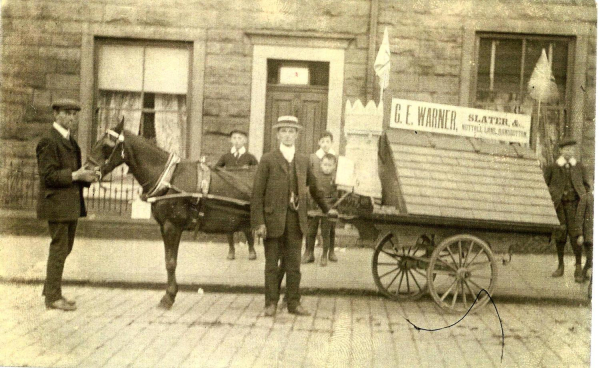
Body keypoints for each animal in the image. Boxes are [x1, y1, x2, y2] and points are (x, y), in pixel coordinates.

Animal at [88, 120, 256, 308]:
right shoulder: (165, 227)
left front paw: (168, 296)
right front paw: (170, 293)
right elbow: (168, 259)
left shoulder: (172, 226)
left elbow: (170, 263)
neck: (168, 179)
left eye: (106, 145)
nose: (87, 170)